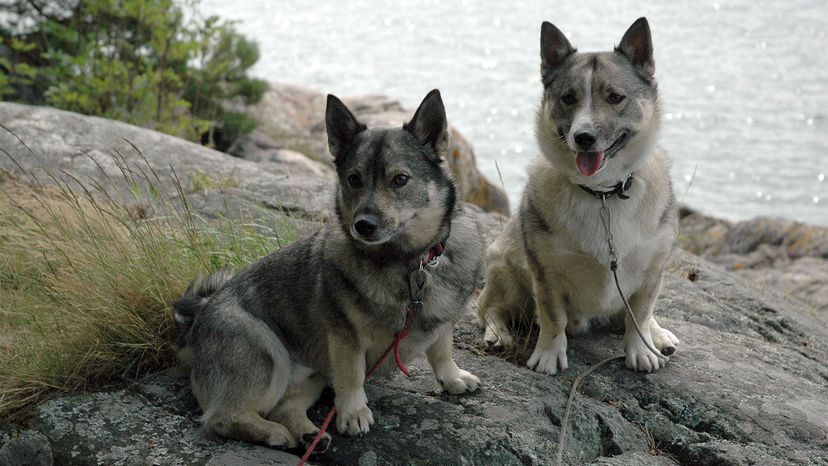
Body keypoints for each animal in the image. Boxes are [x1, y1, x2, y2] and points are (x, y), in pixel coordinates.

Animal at [175, 89, 486, 450]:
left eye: (400, 180)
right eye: (354, 179)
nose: (363, 225)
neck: (408, 262)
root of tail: (196, 319)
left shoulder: (441, 319)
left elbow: (441, 350)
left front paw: (452, 378)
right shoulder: (344, 337)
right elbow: (352, 376)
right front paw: (354, 413)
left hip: (314, 375)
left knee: (284, 407)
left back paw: (309, 434)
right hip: (267, 353)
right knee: (223, 418)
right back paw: (275, 434)